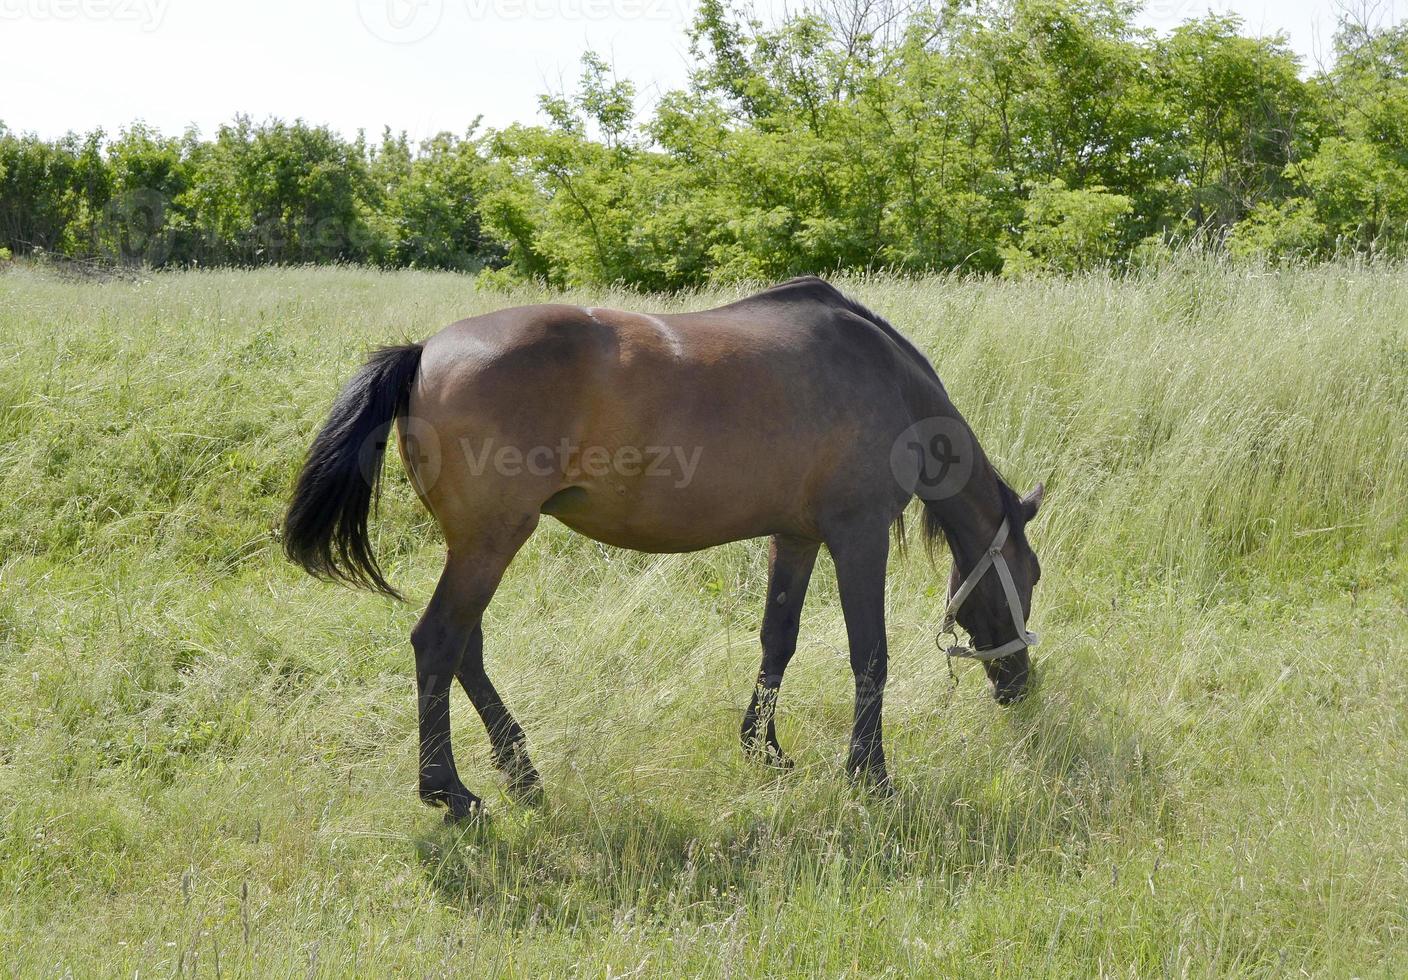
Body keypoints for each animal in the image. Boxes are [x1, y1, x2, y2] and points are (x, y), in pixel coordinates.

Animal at [280, 278, 1041, 822]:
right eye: (1028, 578)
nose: (1019, 687)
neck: (886, 380)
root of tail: (422, 352)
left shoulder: (794, 537)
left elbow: (779, 638)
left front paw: (763, 748)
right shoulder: (858, 535)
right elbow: (870, 654)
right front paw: (870, 774)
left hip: (479, 547)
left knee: (465, 649)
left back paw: (521, 772)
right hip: (490, 542)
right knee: (439, 641)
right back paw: (451, 793)